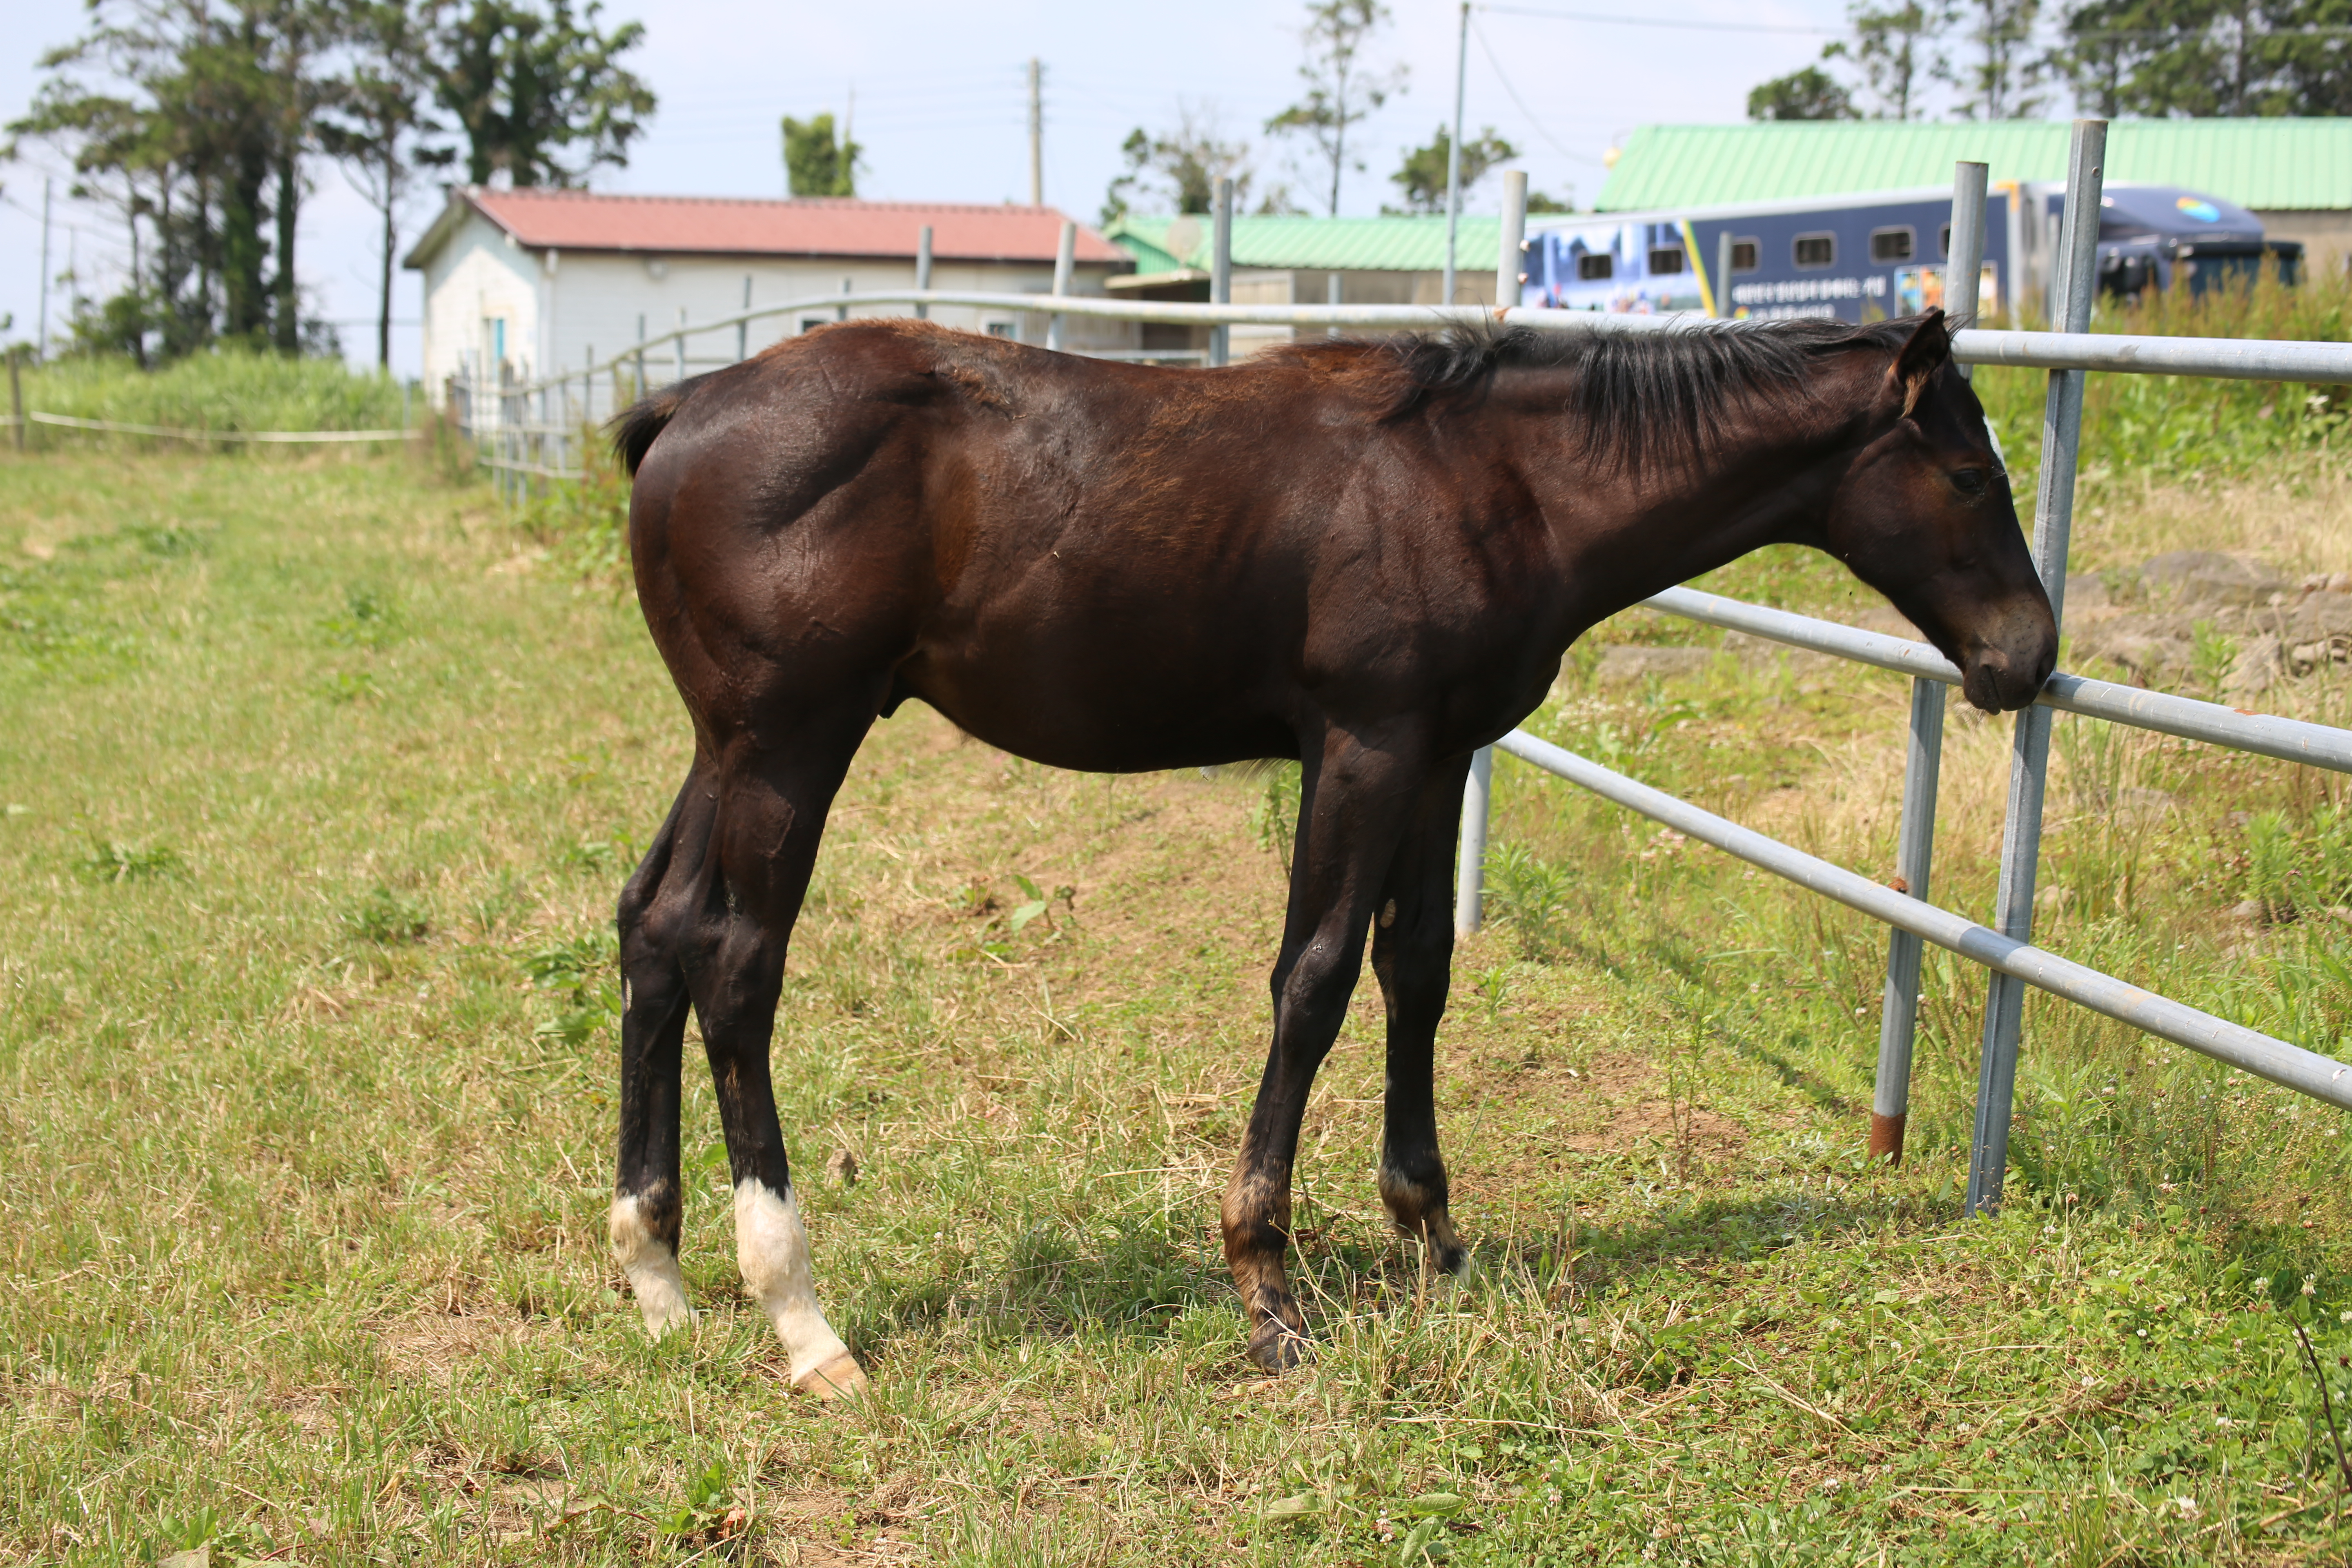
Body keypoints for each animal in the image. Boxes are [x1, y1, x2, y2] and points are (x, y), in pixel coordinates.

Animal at [611, 312, 2060, 1392]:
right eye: (1972, 476)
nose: (2027, 659)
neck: (1487, 477)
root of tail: (681, 409)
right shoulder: (1362, 742)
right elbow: (1310, 981)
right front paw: (1267, 1283)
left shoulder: (1437, 752)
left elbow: (1414, 971)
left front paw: (1434, 1233)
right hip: (793, 743)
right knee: (738, 965)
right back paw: (802, 1318)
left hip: (725, 746)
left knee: (655, 930)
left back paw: (657, 1273)